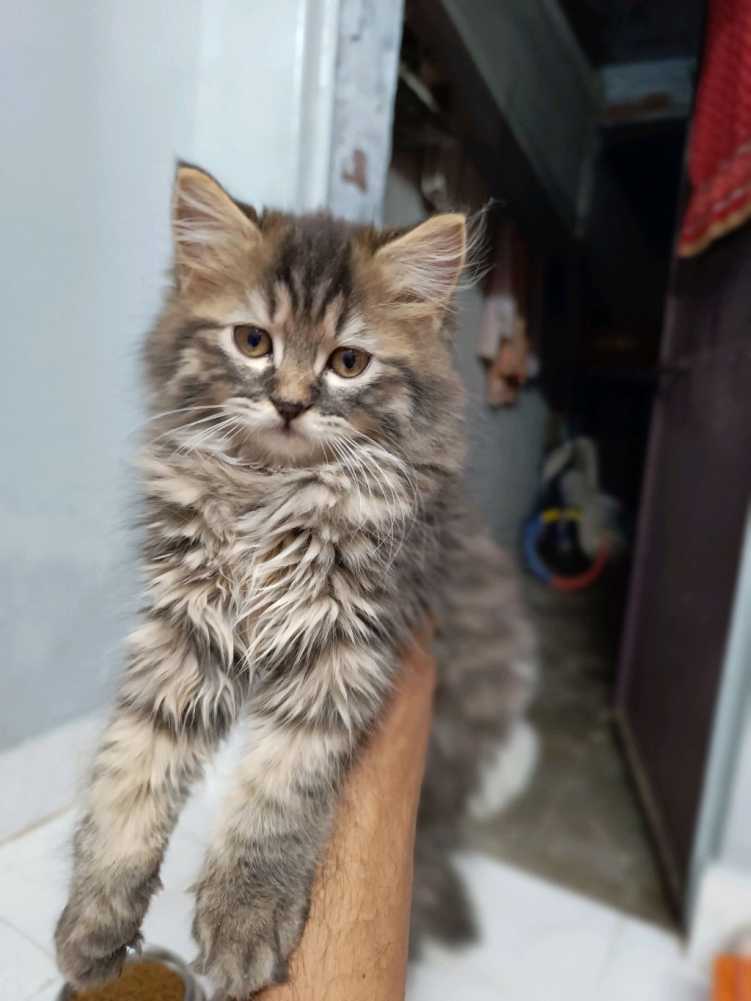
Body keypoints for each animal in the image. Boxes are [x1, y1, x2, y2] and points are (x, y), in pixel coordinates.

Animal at [54, 164, 537, 999]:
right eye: (253, 342)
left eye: (347, 362)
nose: (288, 401)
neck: (269, 495)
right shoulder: (183, 625)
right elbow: (131, 766)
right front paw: (96, 914)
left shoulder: (343, 643)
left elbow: (278, 792)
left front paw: (245, 920)